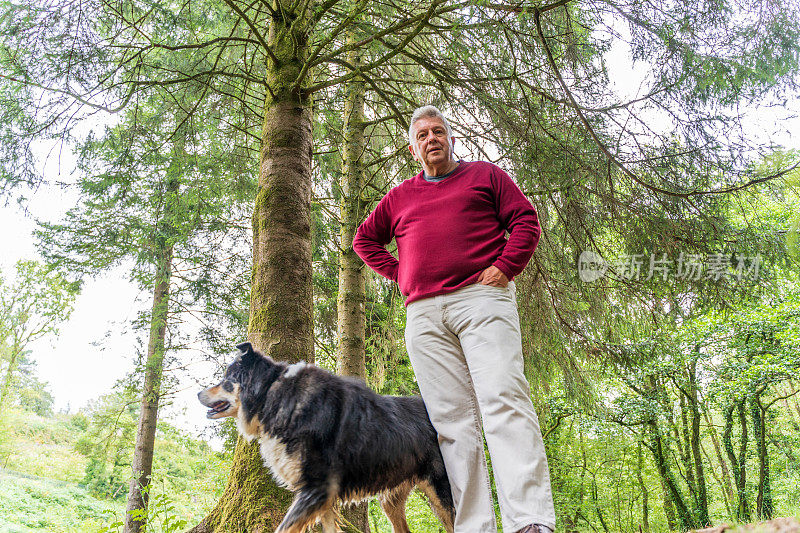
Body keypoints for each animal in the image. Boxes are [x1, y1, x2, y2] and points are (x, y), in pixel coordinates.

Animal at [198, 340, 454, 532]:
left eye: (226, 380)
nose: (198, 394)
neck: (273, 393)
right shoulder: (325, 496)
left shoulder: (317, 488)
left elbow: (284, 528)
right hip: (391, 499)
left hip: (441, 490)